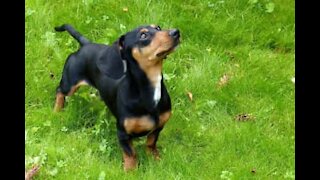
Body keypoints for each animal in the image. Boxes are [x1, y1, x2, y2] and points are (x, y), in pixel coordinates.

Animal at [53, 23, 181, 170]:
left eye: (158, 28)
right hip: (70, 83)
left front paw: (155, 159)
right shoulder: (122, 133)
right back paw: (57, 110)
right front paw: (130, 170)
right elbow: (131, 153)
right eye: (143, 35)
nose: (176, 32)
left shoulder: (158, 127)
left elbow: (150, 143)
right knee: (59, 91)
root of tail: (86, 44)